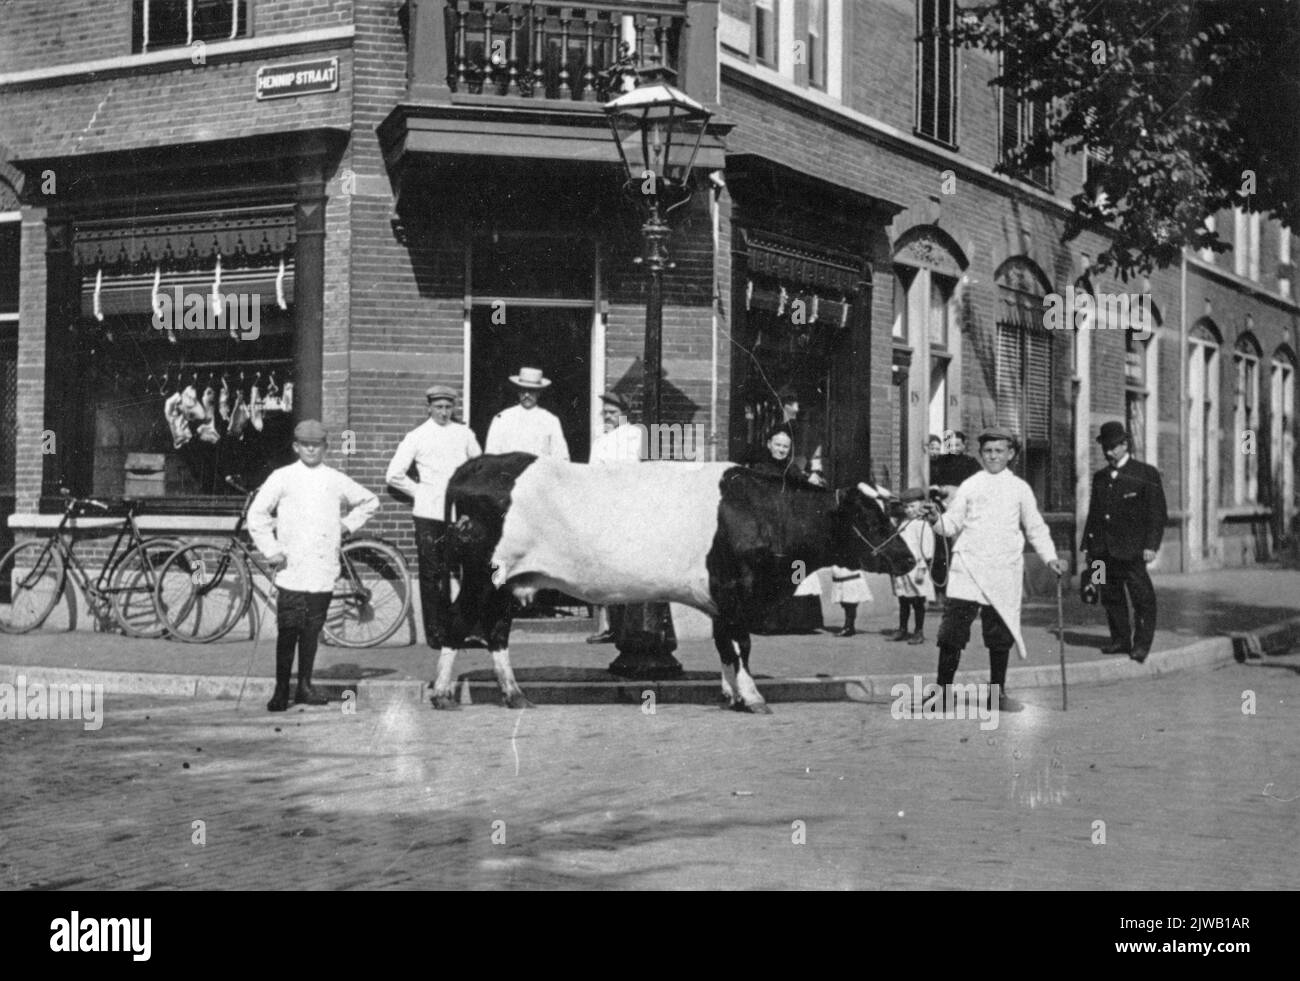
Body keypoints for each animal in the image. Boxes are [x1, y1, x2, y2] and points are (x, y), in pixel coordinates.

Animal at [435, 453, 915, 713]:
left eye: (887, 511)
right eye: (870, 517)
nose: (908, 558)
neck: (760, 511)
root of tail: (478, 463)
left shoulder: (721, 600)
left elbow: (727, 647)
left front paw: (732, 694)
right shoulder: (735, 591)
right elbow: (741, 645)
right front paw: (752, 696)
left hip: (510, 583)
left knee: (496, 632)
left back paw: (515, 695)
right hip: (481, 575)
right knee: (456, 623)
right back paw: (441, 693)